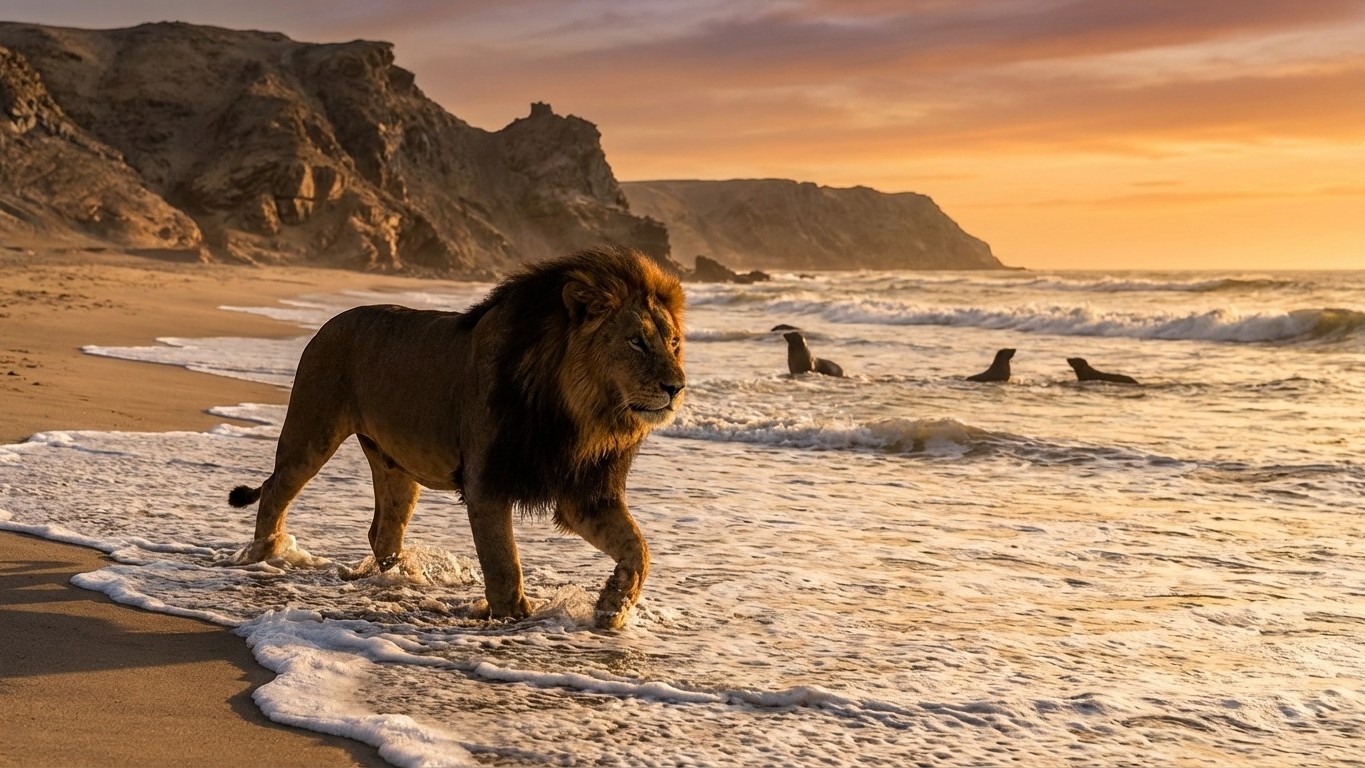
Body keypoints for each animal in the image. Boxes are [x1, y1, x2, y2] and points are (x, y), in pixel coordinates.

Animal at [227, 247, 686, 629]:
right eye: (636, 342)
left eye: (674, 343)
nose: (677, 387)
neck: (578, 414)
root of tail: (330, 322)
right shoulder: (486, 482)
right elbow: (503, 562)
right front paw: (512, 618)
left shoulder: (586, 492)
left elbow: (638, 549)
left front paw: (612, 606)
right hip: (311, 433)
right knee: (275, 491)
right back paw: (265, 555)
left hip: (396, 466)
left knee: (382, 531)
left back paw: (401, 580)